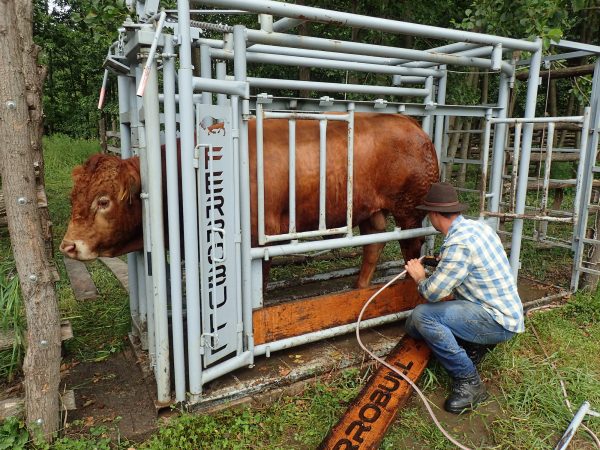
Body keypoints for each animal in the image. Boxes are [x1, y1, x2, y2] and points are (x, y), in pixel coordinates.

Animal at [61, 112, 438, 288]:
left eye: (103, 201)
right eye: (73, 197)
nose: (68, 246)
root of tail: (414, 126)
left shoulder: (260, 237)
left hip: (409, 209)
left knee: (410, 246)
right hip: (368, 209)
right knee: (373, 242)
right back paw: (358, 288)